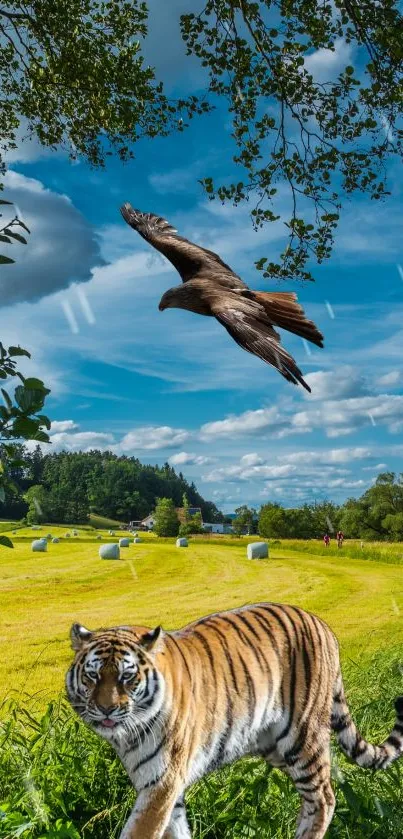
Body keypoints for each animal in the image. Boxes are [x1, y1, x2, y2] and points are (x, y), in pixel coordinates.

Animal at [65, 604, 403, 839]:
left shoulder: (161, 782)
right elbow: (177, 828)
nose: (106, 710)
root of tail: (322, 624)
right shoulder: (167, 786)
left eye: (127, 676)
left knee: (324, 798)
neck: (129, 735)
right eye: (92, 675)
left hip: (302, 739)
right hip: (274, 747)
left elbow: (139, 831)